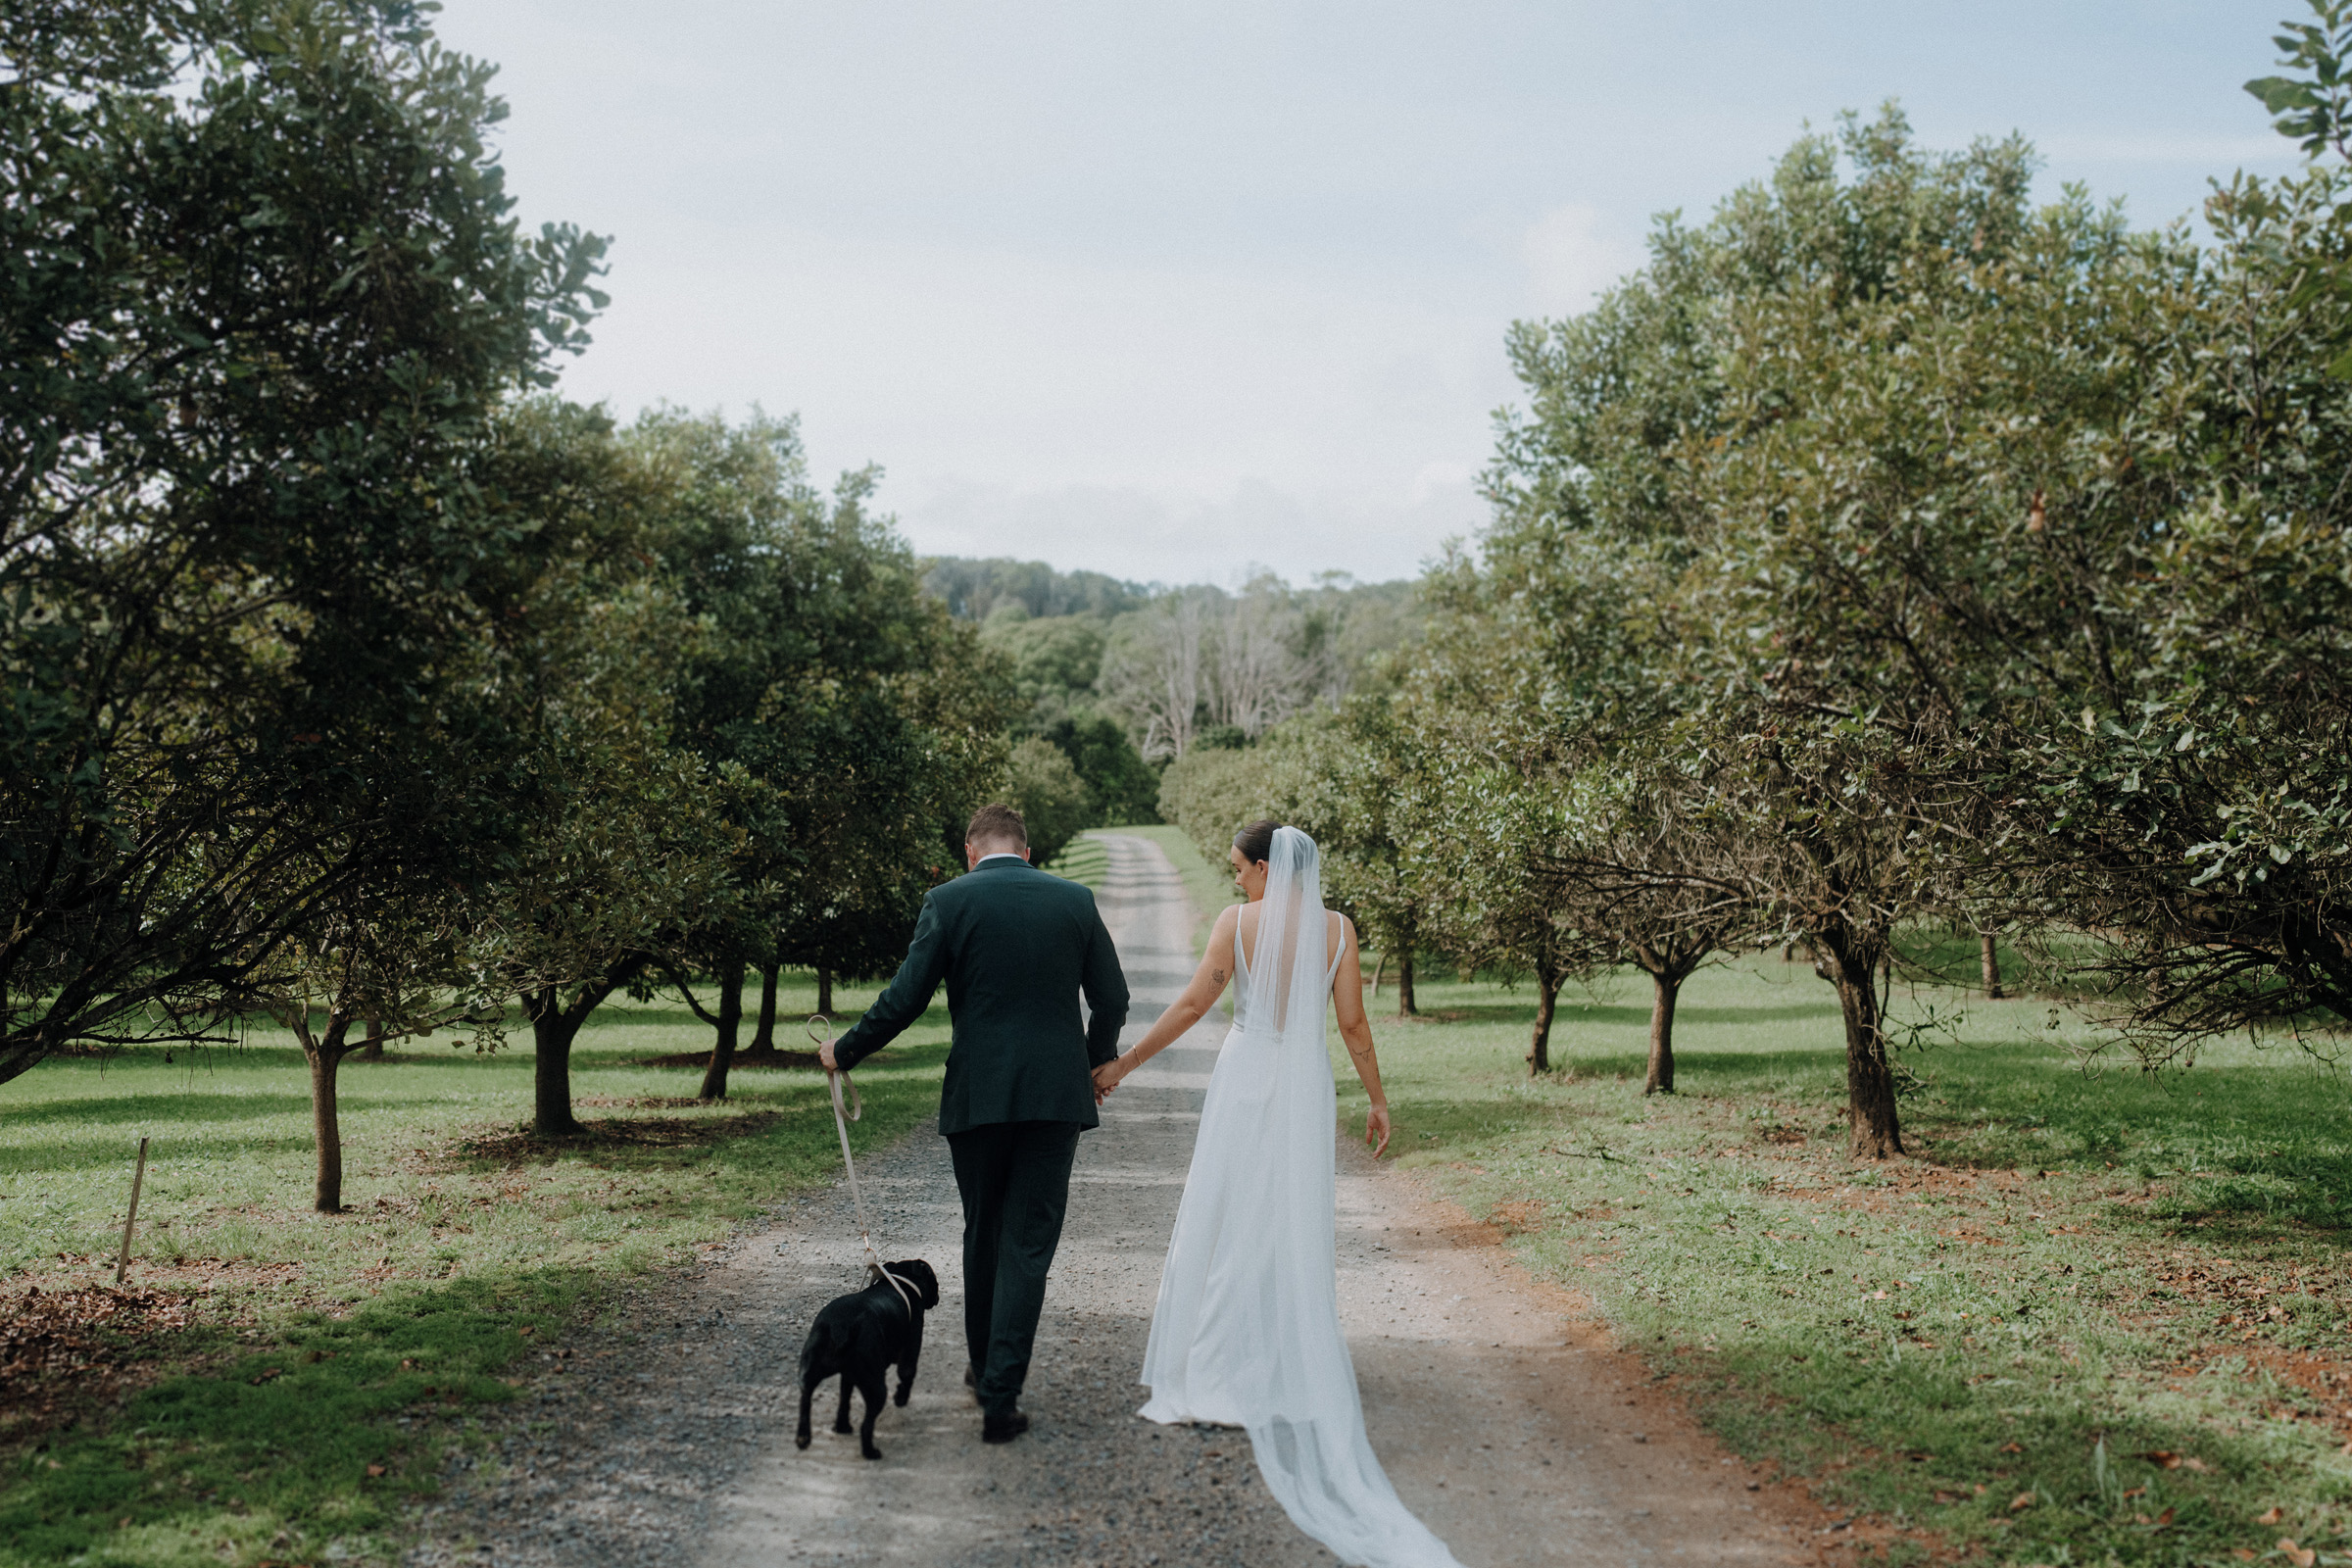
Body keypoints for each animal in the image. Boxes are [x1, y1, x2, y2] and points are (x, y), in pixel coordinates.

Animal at [790, 1259, 936, 1466]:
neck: (902, 1280)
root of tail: (841, 1327)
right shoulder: (910, 1351)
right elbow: (907, 1375)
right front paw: (901, 1398)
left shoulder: (847, 1376)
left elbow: (844, 1398)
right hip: (877, 1389)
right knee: (866, 1426)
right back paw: (870, 1452)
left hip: (808, 1375)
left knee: (806, 1403)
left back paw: (809, 1436)